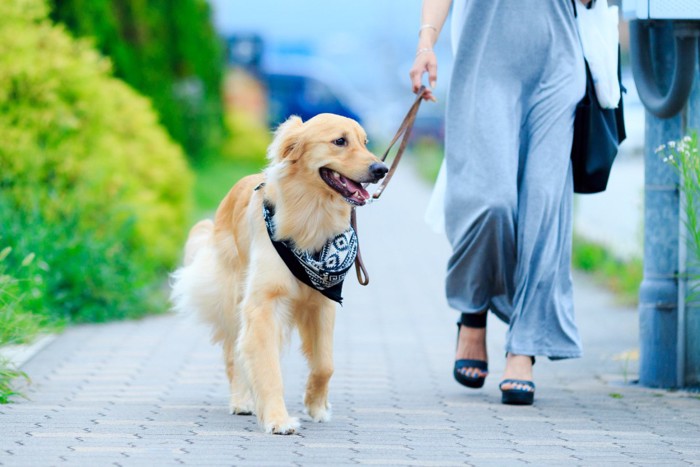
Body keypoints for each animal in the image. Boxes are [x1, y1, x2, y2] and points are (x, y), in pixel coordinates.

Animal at [170, 113, 388, 436]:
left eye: (364, 142)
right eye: (339, 141)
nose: (381, 169)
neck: (310, 213)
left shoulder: (322, 302)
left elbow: (325, 364)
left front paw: (316, 405)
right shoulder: (263, 303)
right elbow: (268, 367)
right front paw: (277, 419)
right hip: (233, 297)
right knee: (233, 353)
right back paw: (242, 400)